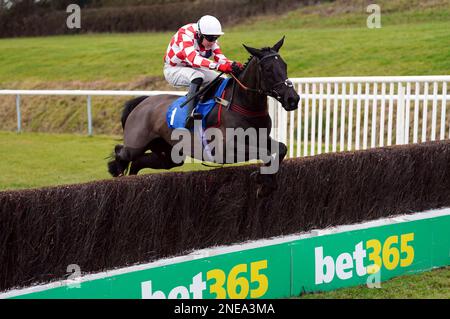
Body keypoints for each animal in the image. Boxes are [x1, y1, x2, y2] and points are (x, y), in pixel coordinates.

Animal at [107, 37, 300, 196]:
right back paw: (117, 174)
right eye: (268, 69)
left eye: (284, 65)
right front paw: (261, 178)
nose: (293, 99)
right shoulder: (226, 149)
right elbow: (266, 153)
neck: (242, 105)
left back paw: (130, 182)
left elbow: (281, 148)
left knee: (139, 163)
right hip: (136, 143)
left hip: (168, 153)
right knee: (121, 152)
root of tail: (143, 101)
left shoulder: (260, 138)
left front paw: (267, 184)